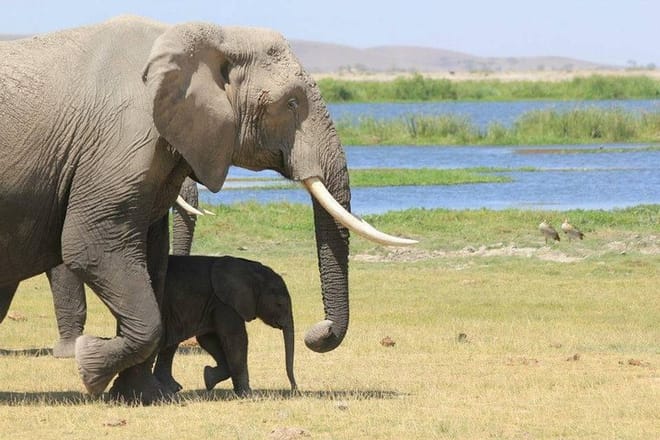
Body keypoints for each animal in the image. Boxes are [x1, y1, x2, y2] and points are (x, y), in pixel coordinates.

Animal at [153, 255, 296, 396]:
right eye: (279, 304)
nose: (294, 389)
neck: (250, 268)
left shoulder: (214, 304)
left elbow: (209, 339)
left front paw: (208, 377)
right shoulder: (225, 304)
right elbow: (236, 339)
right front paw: (248, 394)